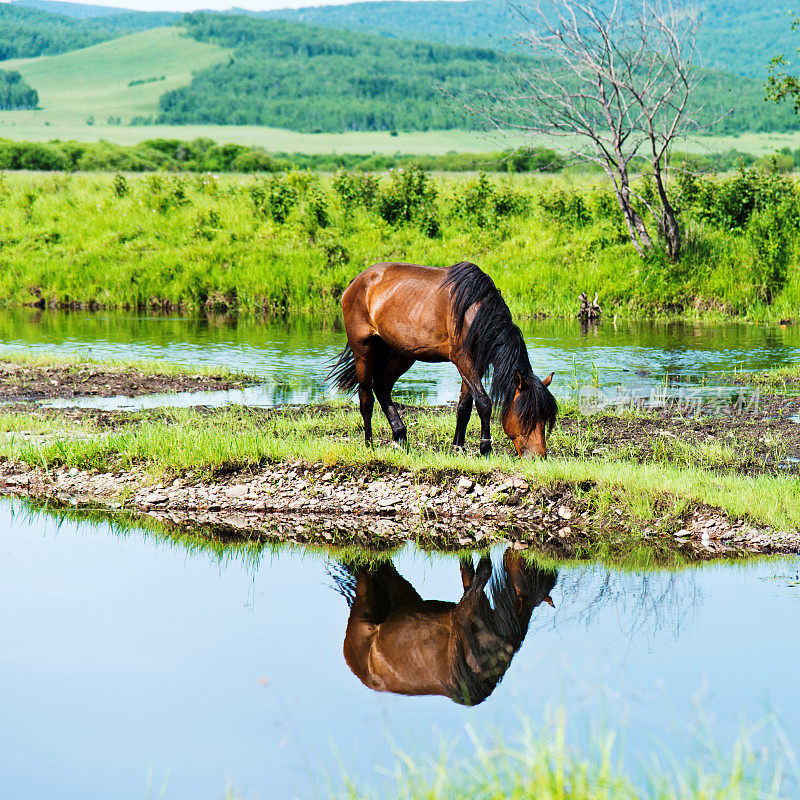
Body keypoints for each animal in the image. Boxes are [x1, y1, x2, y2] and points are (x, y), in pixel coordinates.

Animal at [328, 260, 560, 456]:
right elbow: (483, 402)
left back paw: (400, 436)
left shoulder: (473, 363)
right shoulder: (462, 359)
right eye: (526, 416)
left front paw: (458, 446)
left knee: (382, 387)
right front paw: (485, 448)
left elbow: (464, 406)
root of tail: (355, 282)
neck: (474, 312)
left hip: (400, 353)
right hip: (363, 349)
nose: (538, 456)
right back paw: (369, 443)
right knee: (366, 396)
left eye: (545, 417)